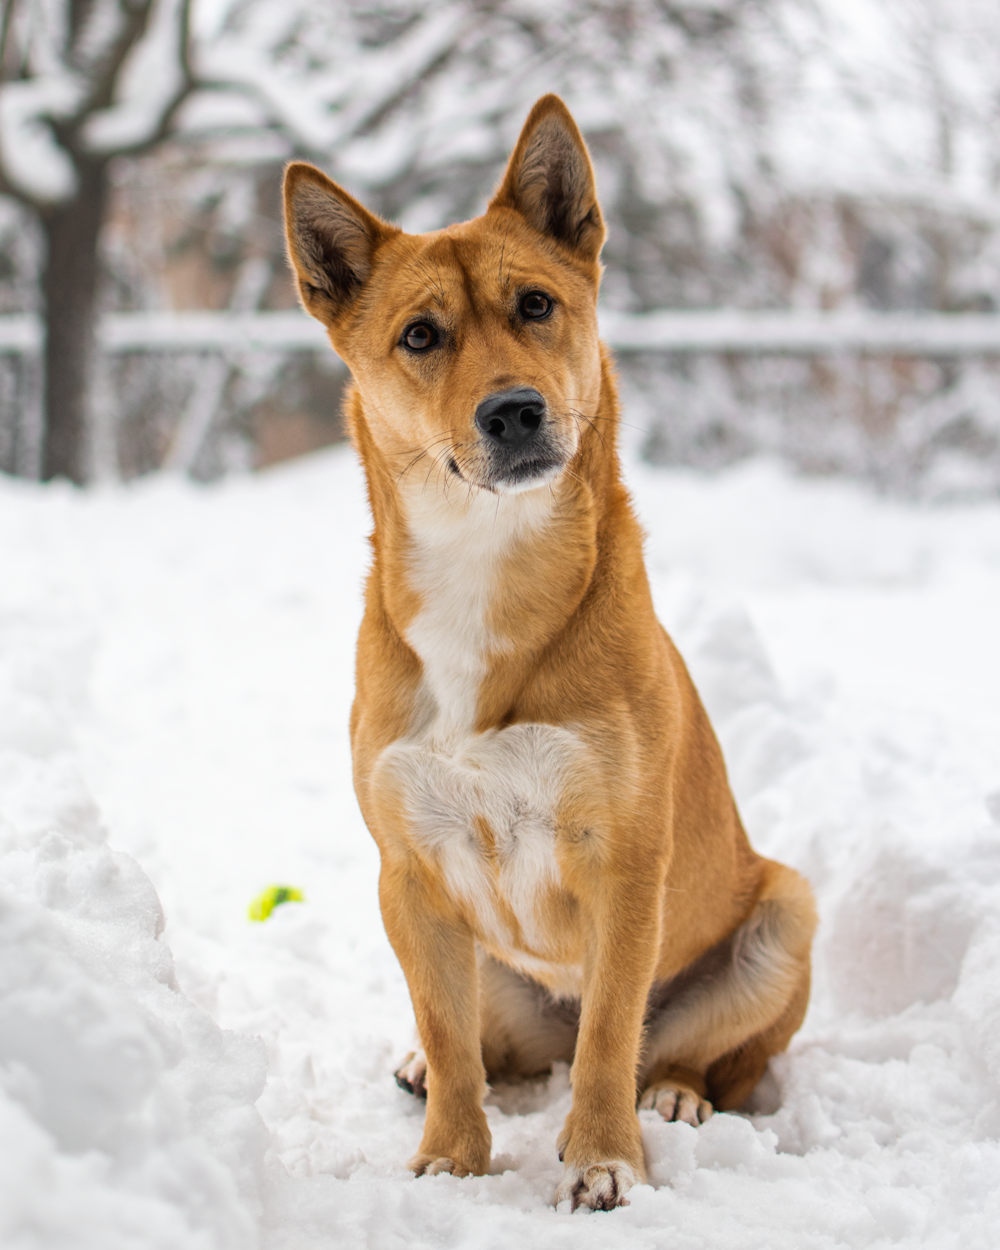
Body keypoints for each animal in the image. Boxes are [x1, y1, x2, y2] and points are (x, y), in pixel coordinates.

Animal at [285, 92, 815, 1205]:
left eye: (535, 305)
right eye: (420, 335)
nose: (515, 409)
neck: (487, 572)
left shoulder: (623, 860)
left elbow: (612, 1029)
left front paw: (605, 1159)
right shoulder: (408, 871)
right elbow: (452, 1041)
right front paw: (451, 1156)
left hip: (787, 910)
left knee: (690, 1054)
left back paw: (673, 1098)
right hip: (478, 958)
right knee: (495, 1049)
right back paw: (423, 1069)